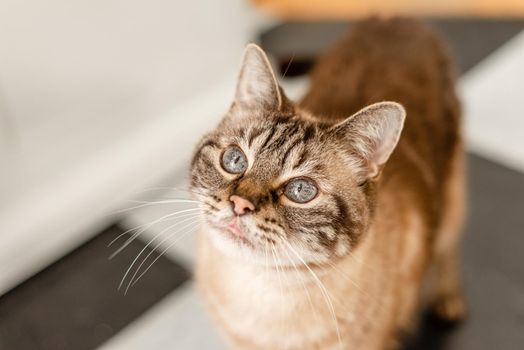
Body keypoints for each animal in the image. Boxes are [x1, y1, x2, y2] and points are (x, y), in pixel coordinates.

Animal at [189, 17, 466, 348]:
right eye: (234, 160)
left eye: (301, 190)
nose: (240, 204)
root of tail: (397, 20)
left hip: (452, 200)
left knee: (447, 248)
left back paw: (448, 300)